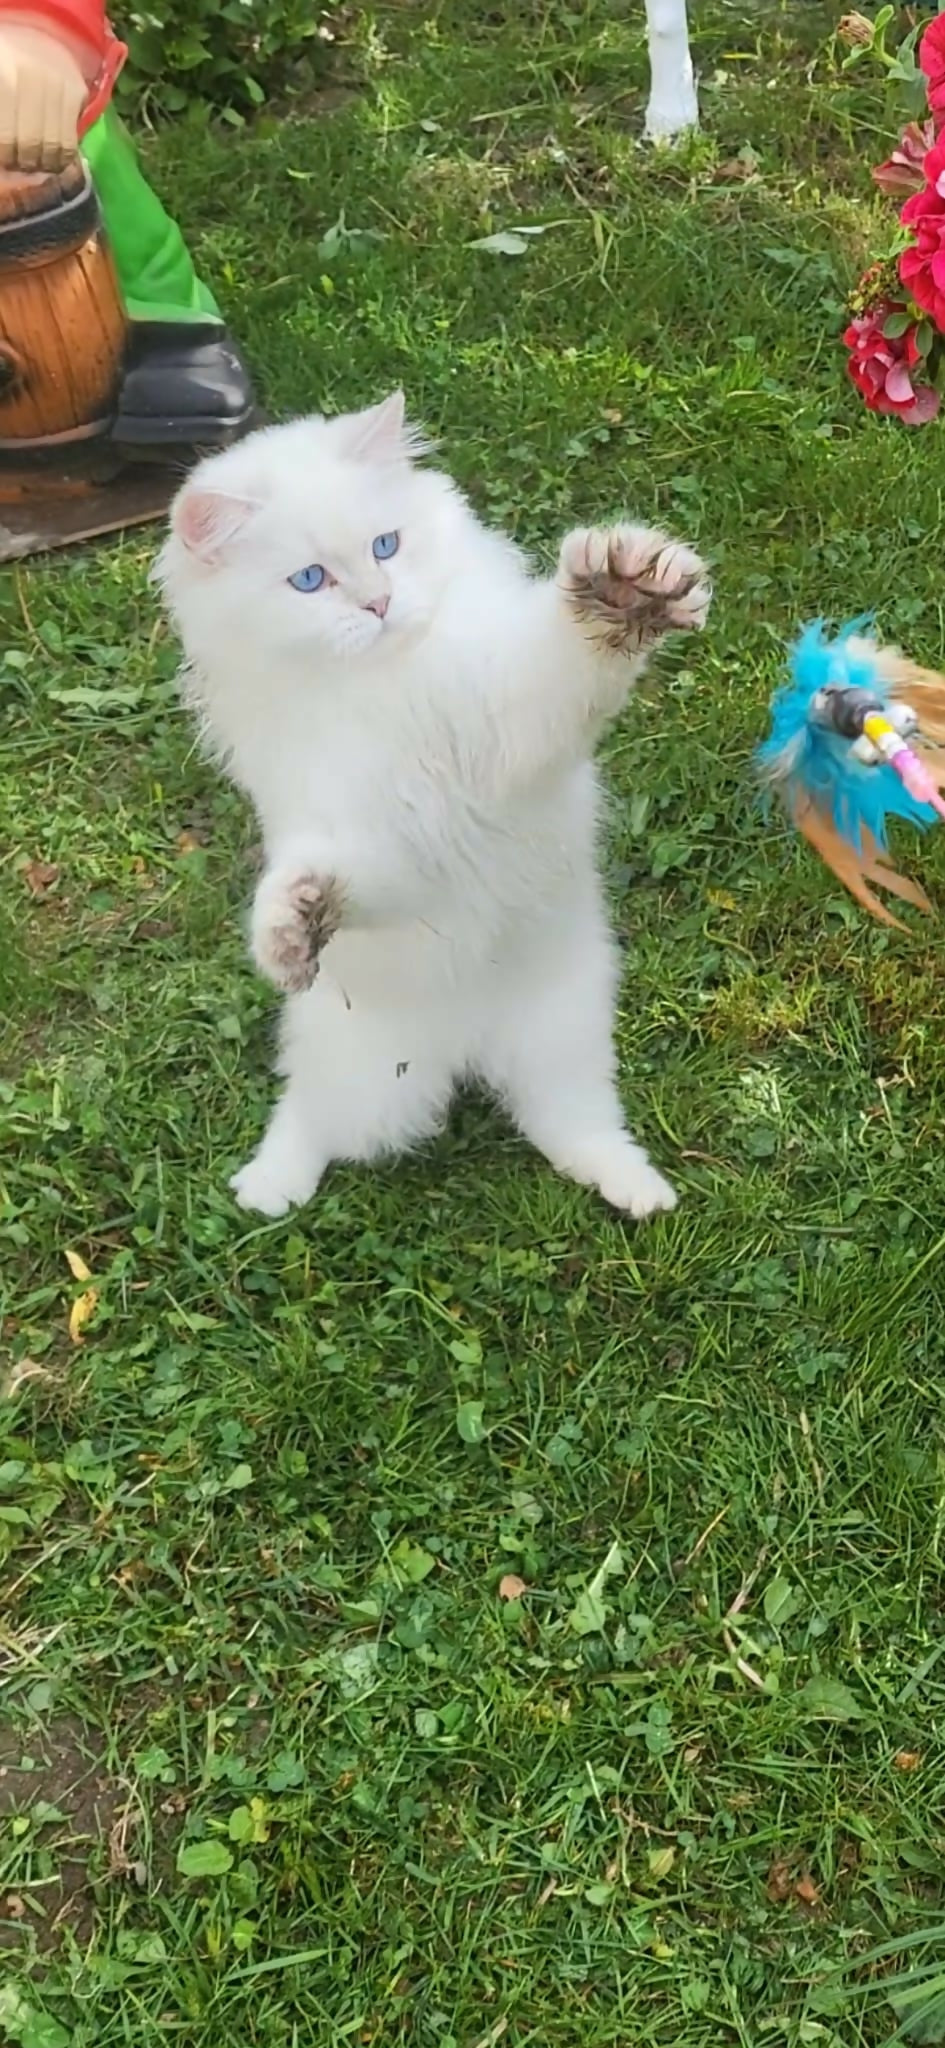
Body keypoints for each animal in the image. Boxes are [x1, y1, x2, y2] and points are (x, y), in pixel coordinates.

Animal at [156, 395, 705, 1212]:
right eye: (310, 580)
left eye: (386, 545)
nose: (380, 603)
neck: (390, 685)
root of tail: (466, 1048)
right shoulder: (380, 839)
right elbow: (327, 875)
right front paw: (293, 922)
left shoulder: (511, 728)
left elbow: (572, 656)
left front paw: (621, 592)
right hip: (366, 1083)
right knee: (307, 1118)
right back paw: (266, 1190)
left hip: (565, 1040)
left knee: (572, 1130)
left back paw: (638, 1192)